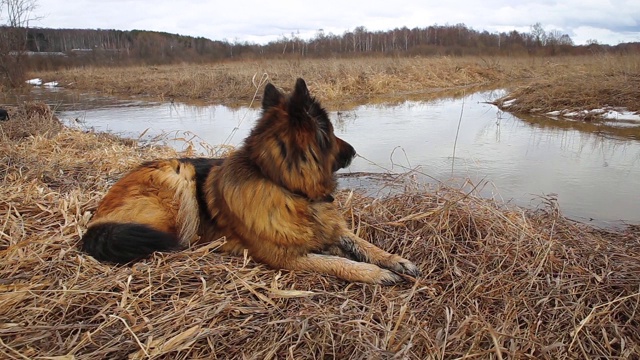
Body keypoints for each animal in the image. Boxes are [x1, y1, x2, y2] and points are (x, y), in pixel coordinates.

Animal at [80, 79, 420, 284]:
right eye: (333, 133)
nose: (354, 151)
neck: (286, 187)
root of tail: (97, 220)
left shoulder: (333, 227)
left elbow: (363, 243)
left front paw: (395, 260)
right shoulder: (285, 257)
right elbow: (335, 261)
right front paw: (372, 272)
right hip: (178, 175)